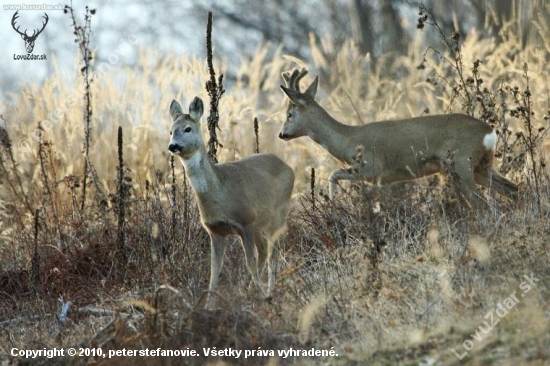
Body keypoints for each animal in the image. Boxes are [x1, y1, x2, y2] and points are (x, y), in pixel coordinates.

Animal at [168, 96, 296, 308]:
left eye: (187, 128)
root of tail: (288, 166)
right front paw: (209, 305)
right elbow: (214, 270)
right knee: (264, 250)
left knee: (274, 251)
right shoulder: (215, 231)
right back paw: (252, 289)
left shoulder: (246, 222)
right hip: (261, 224)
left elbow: (250, 262)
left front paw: (262, 296)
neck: (220, 193)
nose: (173, 146)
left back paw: (269, 289)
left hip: (279, 212)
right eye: (170, 131)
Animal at [278, 68, 520, 206]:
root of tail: (488, 132)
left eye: (289, 114)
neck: (347, 140)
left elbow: (333, 174)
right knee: (515, 189)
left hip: (461, 161)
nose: (282, 134)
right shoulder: (380, 179)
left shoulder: (371, 167)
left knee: (481, 202)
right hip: (480, 165)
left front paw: (333, 201)